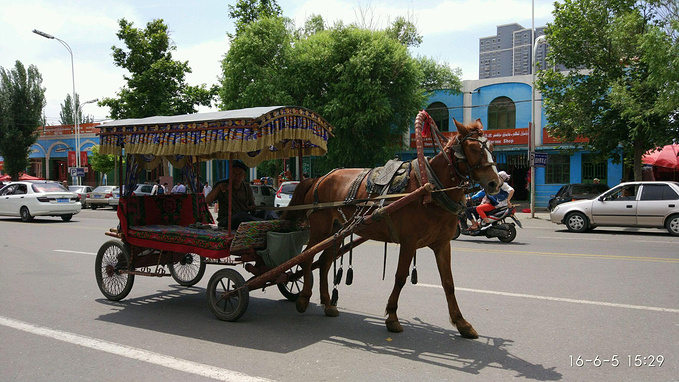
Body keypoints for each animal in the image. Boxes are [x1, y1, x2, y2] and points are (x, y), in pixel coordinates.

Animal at [282, 115, 500, 338]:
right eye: (473, 148)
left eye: (492, 147)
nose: (495, 183)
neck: (431, 189)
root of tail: (319, 178)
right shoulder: (409, 242)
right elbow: (400, 277)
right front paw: (393, 317)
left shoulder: (442, 244)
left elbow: (448, 283)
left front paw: (461, 323)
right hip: (320, 229)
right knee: (307, 258)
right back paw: (303, 298)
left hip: (336, 231)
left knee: (324, 263)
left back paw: (327, 303)